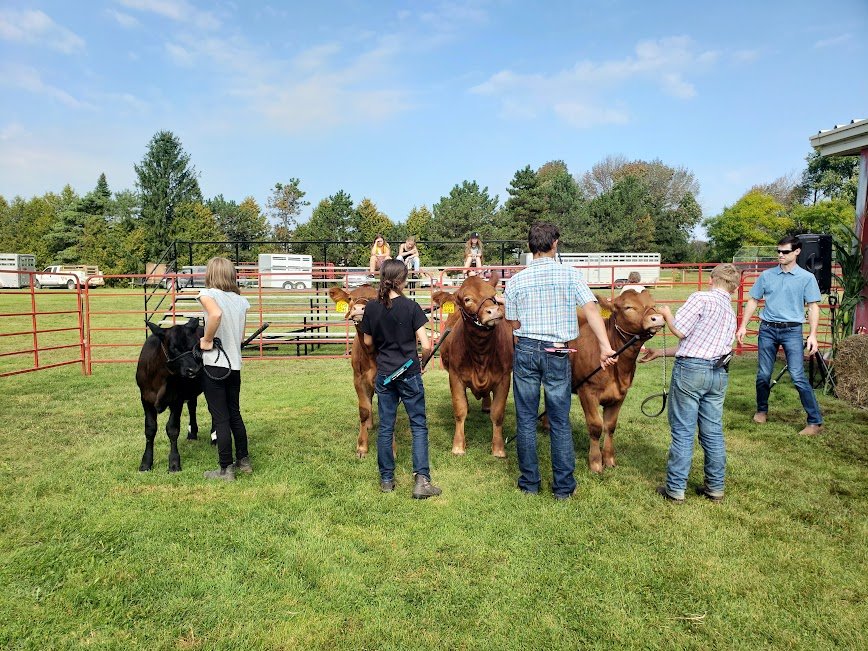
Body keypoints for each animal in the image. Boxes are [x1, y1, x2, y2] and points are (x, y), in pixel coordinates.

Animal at [328, 286, 378, 458]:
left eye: (376, 297)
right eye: (350, 298)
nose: (358, 309)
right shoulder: (358, 378)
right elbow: (364, 410)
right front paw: (362, 446)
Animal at [568, 290, 664, 474]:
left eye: (653, 304)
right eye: (628, 307)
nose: (657, 318)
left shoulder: (620, 394)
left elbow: (610, 426)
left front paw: (609, 459)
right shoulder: (587, 391)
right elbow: (595, 426)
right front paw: (595, 463)